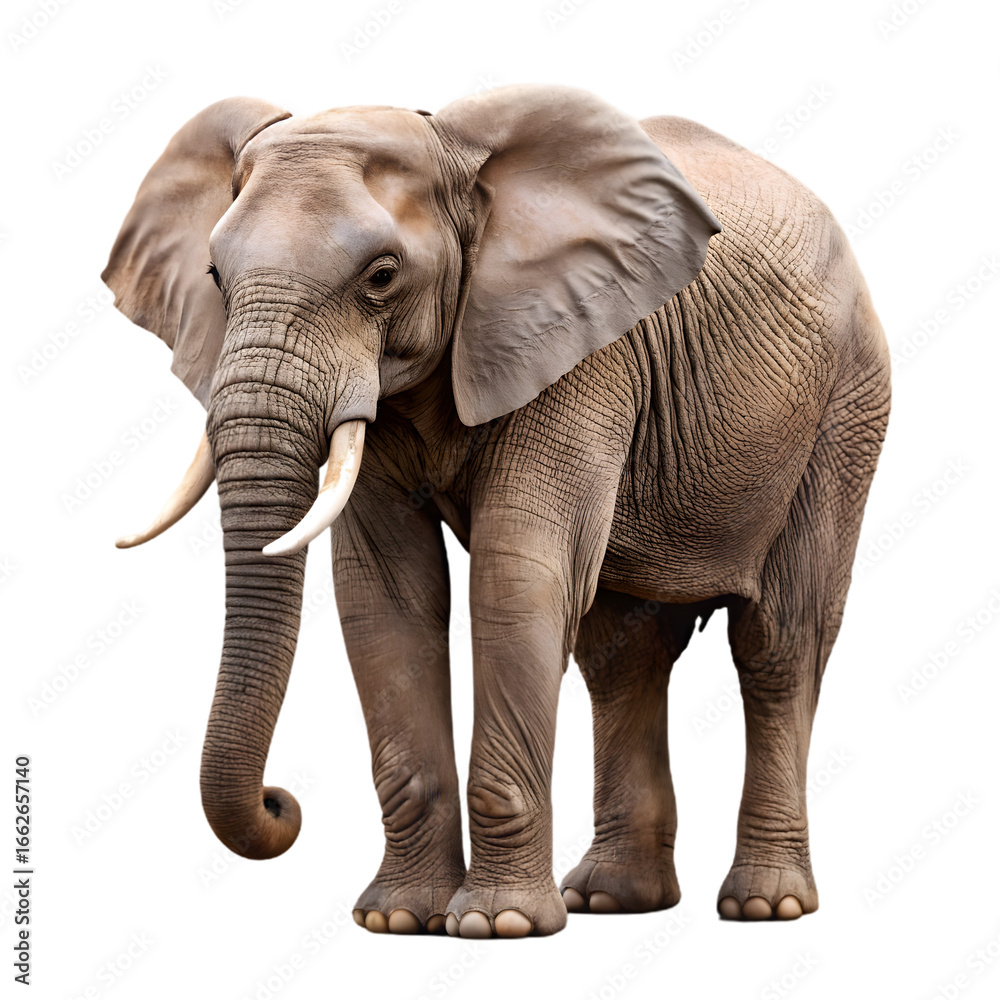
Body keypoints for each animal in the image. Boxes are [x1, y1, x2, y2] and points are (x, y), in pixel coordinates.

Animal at [102, 85, 890, 938]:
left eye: (382, 276)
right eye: (215, 274)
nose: (283, 804)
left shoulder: (582, 347)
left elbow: (516, 581)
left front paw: (498, 925)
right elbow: (386, 596)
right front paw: (399, 920)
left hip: (845, 409)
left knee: (779, 643)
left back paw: (764, 905)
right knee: (622, 654)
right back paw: (612, 899)